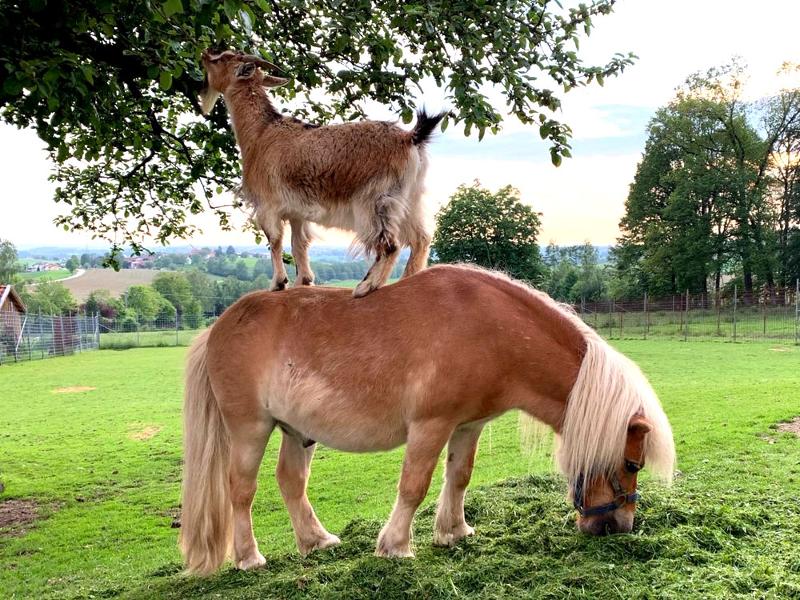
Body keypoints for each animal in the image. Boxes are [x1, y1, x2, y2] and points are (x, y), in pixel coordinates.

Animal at [178, 264, 672, 576]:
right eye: (633, 464)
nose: (618, 527)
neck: (492, 331)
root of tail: (218, 326)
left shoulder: (468, 426)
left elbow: (459, 477)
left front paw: (454, 532)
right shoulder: (430, 426)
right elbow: (414, 485)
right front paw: (395, 546)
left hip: (298, 432)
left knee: (290, 482)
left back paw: (316, 541)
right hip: (249, 429)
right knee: (241, 491)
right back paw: (248, 558)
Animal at [198, 48, 446, 296]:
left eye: (222, 58)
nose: (205, 54)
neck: (261, 132)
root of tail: (411, 137)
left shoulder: (267, 204)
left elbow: (275, 241)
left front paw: (278, 283)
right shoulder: (296, 212)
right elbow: (299, 245)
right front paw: (303, 281)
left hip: (375, 201)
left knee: (390, 245)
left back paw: (366, 286)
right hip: (410, 198)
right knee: (421, 239)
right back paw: (406, 280)